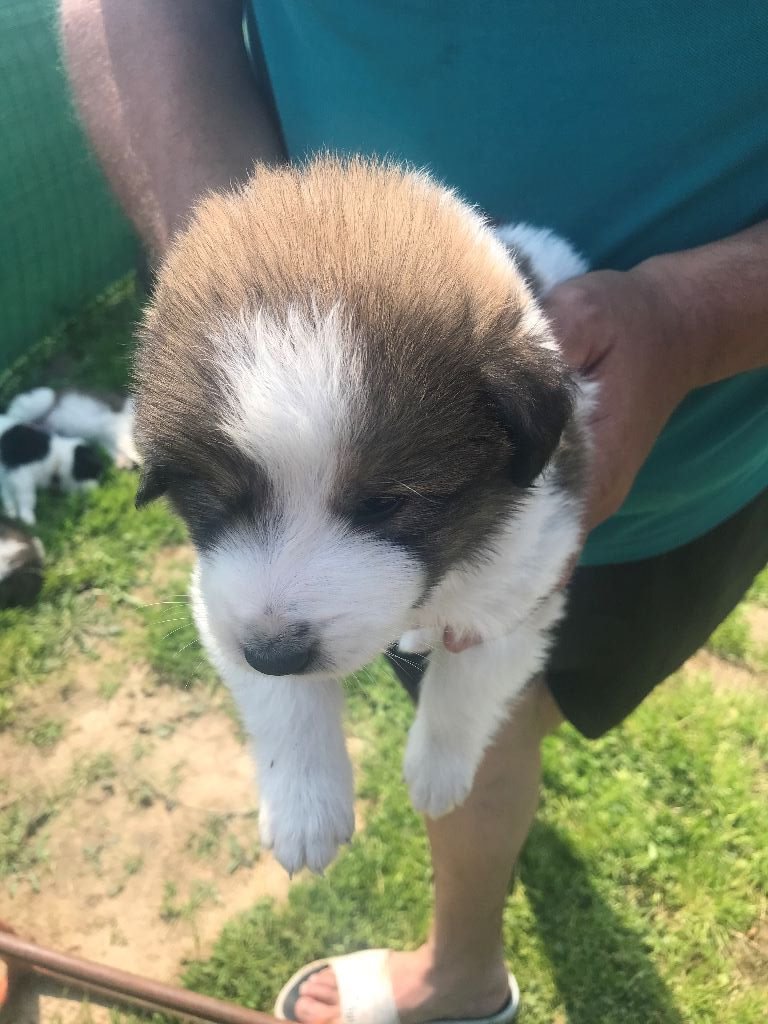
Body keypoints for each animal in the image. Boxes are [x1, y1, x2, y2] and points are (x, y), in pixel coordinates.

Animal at [133, 157, 591, 875]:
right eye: (218, 498)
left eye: (385, 503)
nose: (275, 651)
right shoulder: (219, 601)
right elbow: (282, 700)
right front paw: (305, 810)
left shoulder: (532, 570)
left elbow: (469, 680)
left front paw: (438, 770)